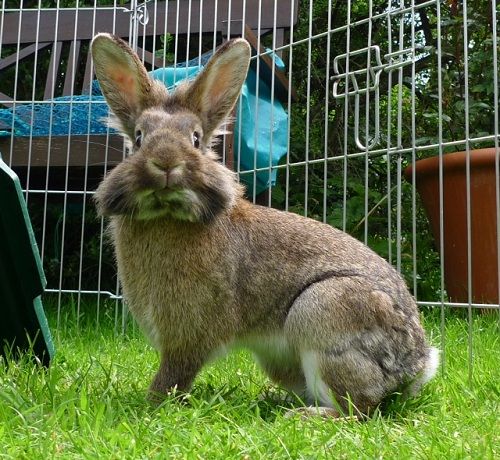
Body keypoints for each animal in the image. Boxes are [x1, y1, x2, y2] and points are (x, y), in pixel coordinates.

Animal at [91, 34, 438, 418]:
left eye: (195, 138)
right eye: (139, 138)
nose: (165, 162)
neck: (168, 212)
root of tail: (417, 364)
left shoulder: (189, 335)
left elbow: (174, 373)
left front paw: (153, 404)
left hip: (324, 311)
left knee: (359, 409)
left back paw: (305, 416)